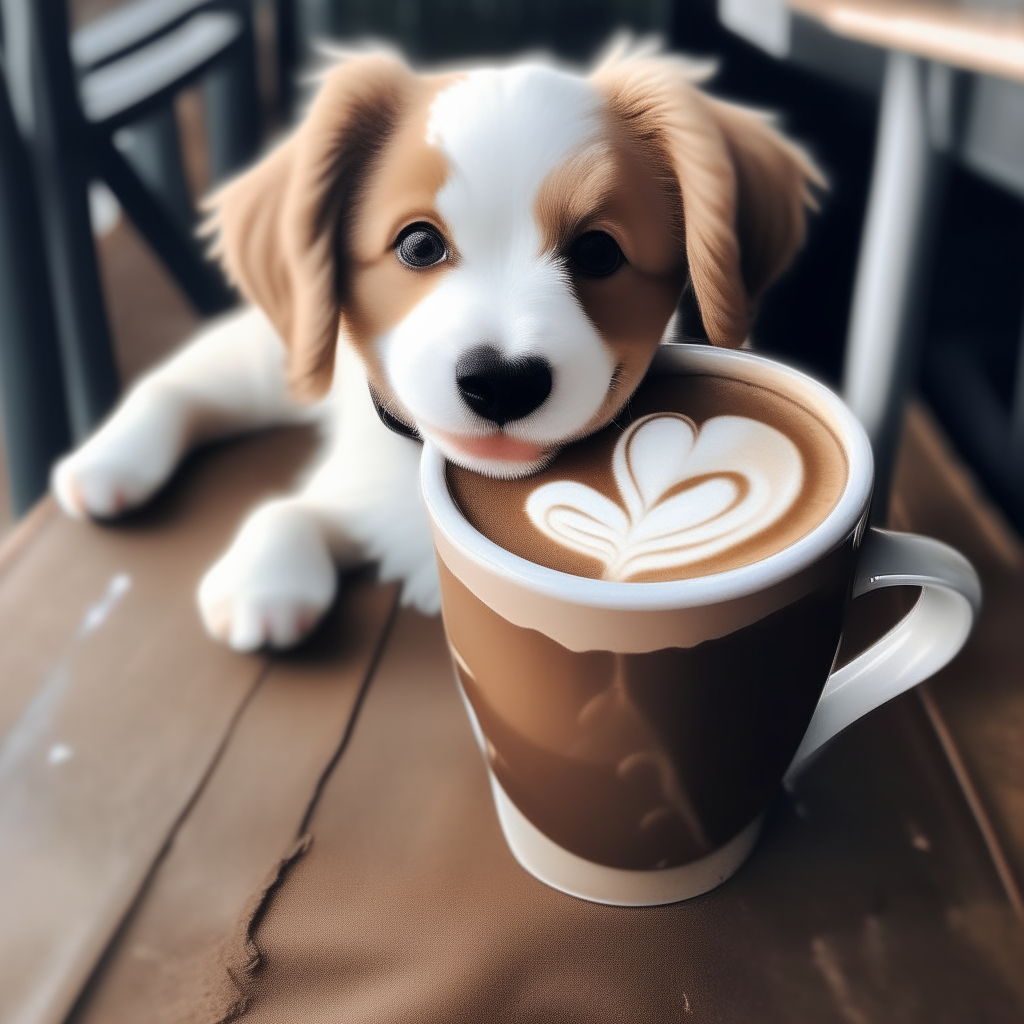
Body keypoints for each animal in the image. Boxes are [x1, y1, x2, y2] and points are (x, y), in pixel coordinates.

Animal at [51, 39, 819, 651]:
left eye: (599, 252)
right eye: (419, 244)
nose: (502, 382)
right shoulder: (360, 484)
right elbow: (290, 508)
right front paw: (263, 581)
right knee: (187, 376)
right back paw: (109, 461)